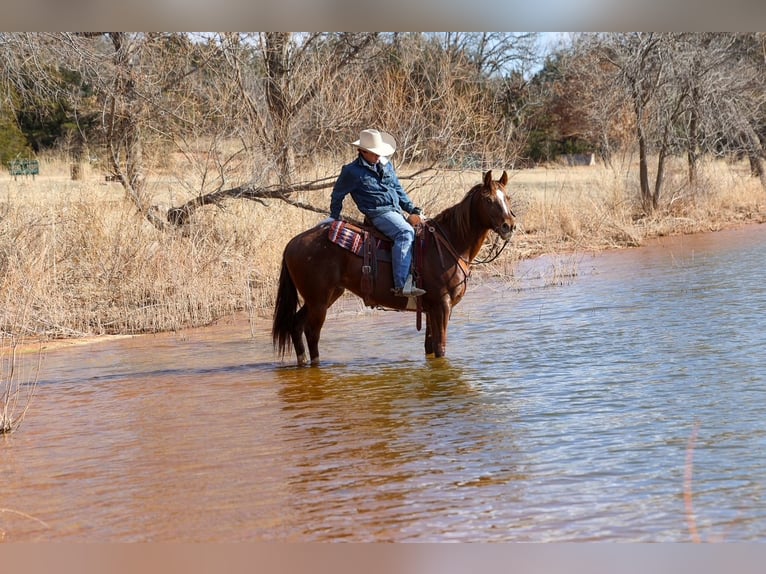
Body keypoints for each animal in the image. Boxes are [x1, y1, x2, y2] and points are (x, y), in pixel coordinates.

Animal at [272, 170, 515, 365]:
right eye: (488, 199)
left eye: (507, 197)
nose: (509, 226)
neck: (450, 243)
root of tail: (293, 243)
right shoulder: (442, 305)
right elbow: (441, 348)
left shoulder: (430, 309)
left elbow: (430, 348)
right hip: (319, 300)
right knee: (312, 333)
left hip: (326, 296)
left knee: (296, 325)